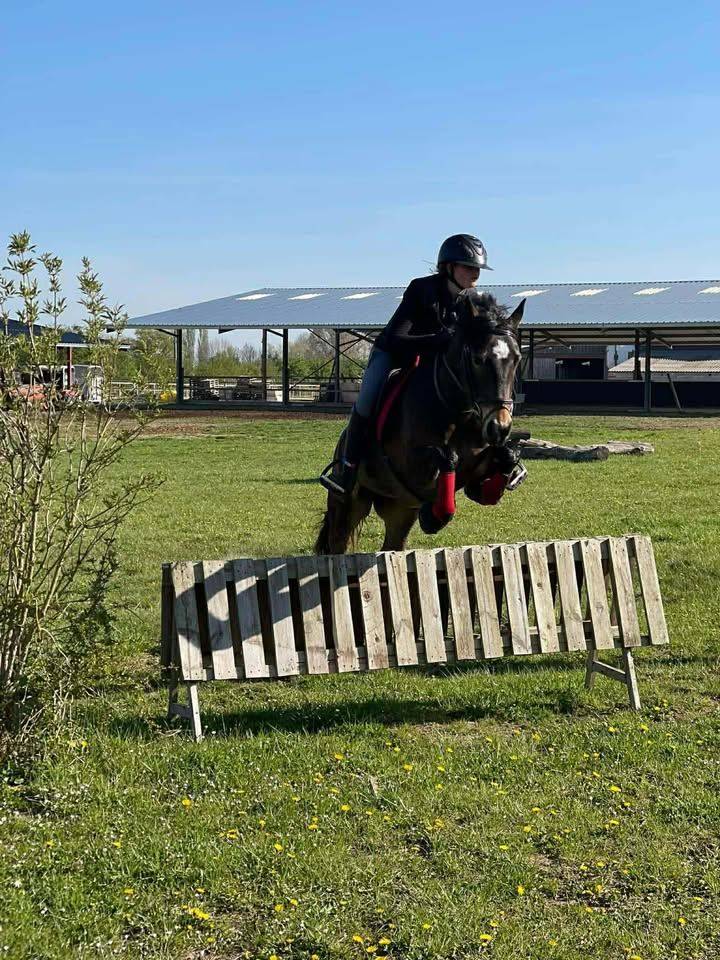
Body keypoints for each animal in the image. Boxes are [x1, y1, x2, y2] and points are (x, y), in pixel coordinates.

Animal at [315, 289, 525, 555]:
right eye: (478, 359)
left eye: (517, 359)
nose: (500, 428)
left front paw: (507, 459)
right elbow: (446, 460)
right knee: (337, 541)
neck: (456, 410)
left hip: (400, 510)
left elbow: (494, 471)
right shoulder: (412, 466)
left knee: (392, 544)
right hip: (349, 502)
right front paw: (433, 516)